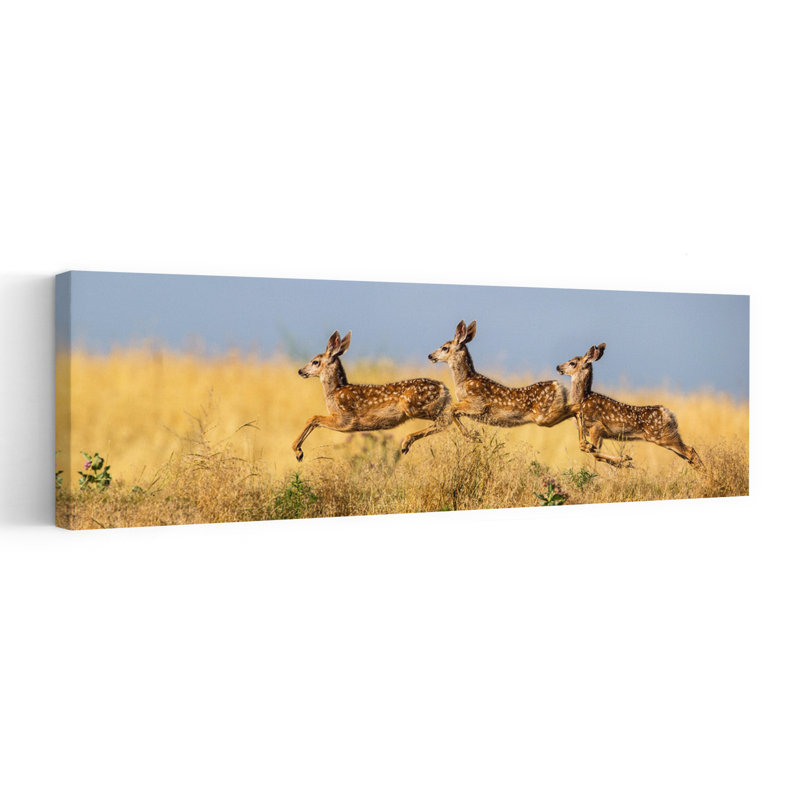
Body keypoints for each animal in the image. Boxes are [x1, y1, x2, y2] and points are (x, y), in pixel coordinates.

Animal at [292, 330, 473, 461]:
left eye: (315, 361)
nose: (300, 371)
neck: (335, 392)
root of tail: (444, 388)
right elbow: (314, 420)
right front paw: (299, 451)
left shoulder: (345, 420)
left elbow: (313, 418)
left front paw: (297, 451)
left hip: (413, 406)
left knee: (444, 421)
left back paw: (407, 443)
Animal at [428, 320, 576, 435]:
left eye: (444, 348)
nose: (430, 356)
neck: (464, 380)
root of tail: (560, 386)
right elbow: (453, 411)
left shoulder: (477, 403)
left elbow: (452, 408)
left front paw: (470, 435)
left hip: (544, 416)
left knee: (574, 408)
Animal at [556, 343, 703, 468]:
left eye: (572, 362)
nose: (558, 367)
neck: (583, 398)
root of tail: (669, 413)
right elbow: (588, 449)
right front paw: (622, 462)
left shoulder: (596, 426)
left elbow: (595, 454)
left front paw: (625, 461)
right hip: (669, 436)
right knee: (689, 456)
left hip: (664, 437)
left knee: (690, 452)